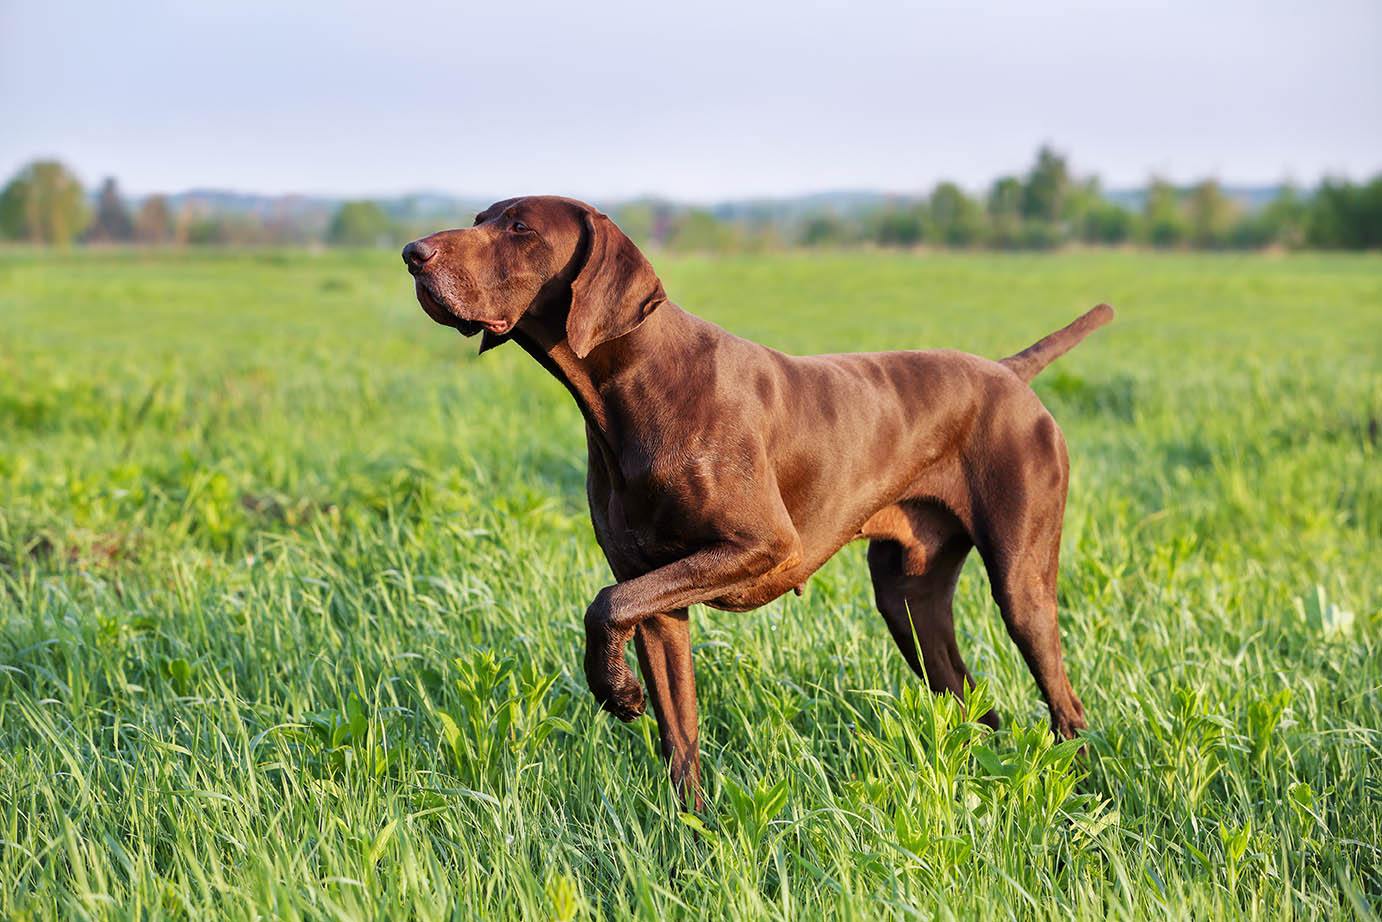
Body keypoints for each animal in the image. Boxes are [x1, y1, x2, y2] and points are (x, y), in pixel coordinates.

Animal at [403, 196, 1111, 807]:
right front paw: (689, 836)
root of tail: (1007, 373)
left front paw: (616, 691)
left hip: (1020, 584)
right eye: (480, 219)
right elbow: (677, 732)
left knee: (1064, 703)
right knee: (972, 701)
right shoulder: (657, 600)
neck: (635, 387)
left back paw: (1078, 797)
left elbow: (604, 605)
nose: (413, 253)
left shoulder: (763, 546)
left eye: (519, 228)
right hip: (908, 600)